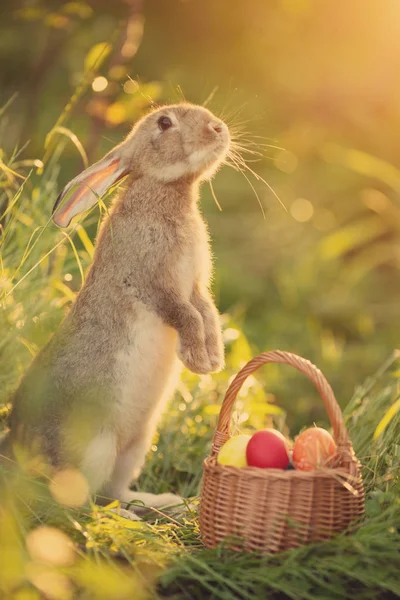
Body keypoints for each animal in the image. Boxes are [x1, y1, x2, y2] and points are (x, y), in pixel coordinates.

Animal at [1, 103, 230, 516]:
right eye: (165, 123)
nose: (219, 129)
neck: (168, 189)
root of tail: (16, 447)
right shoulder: (153, 284)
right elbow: (186, 315)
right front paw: (198, 361)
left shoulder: (195, 286)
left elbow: (206, 312)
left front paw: (214, 359)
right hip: (95, 445)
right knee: (77, 502)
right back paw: (126, 515)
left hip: (135, 446)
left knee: (115, 490)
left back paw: (166, 502)